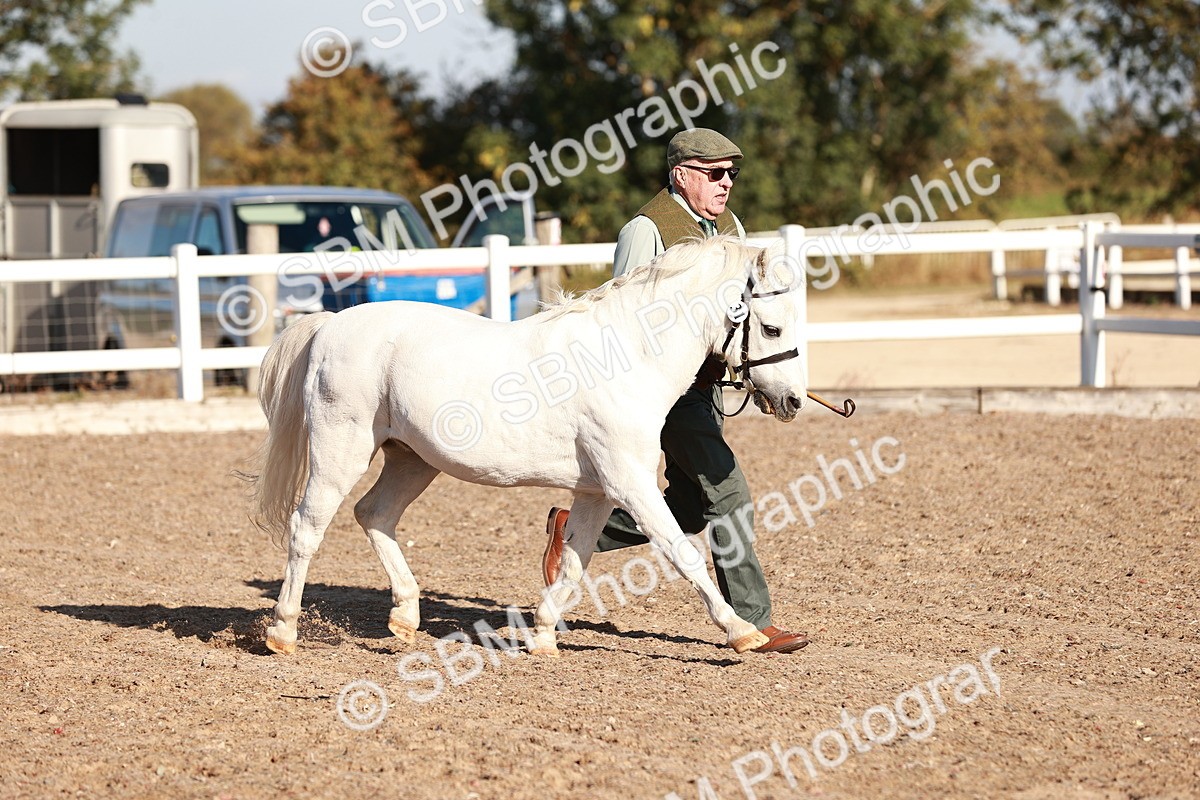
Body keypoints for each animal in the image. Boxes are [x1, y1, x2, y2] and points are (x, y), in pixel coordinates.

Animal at [244, 234, 808, 657]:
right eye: (772, 326)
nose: (794, 401)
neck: (626, 356)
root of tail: (330, 325)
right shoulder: (630, 484)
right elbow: (681, 552)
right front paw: (742, 632)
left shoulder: (596, 492)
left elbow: (577, 558)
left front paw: (541, 635)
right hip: (341, 450)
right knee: (307, 527)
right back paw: (282, 632)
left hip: (412, 459)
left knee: (375, 514)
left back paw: (405, 617)